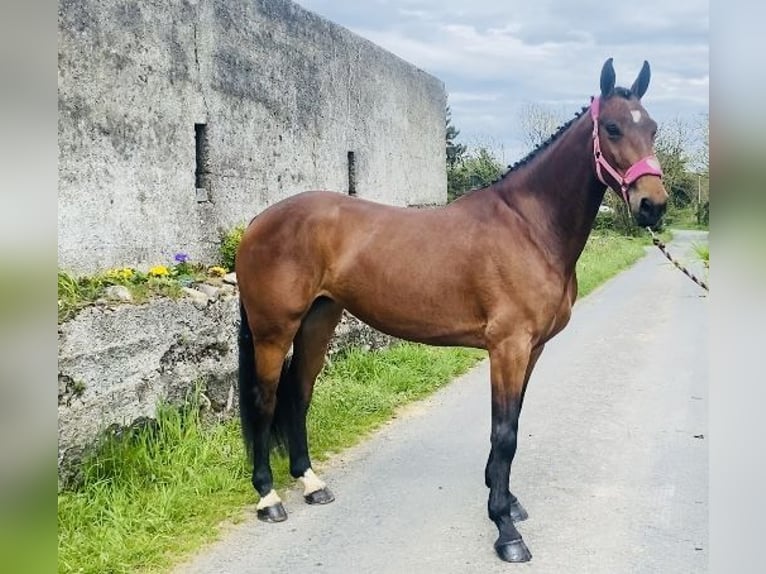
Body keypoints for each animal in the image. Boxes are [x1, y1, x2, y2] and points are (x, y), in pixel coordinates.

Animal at [237, 59, 668, 568]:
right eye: (613, 128)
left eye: (653, 128)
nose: (654, 205)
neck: (530, 227)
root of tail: (258, 221)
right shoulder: (508, 347)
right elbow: (504, 433)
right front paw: (505, 530)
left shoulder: (532, 349)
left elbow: (513, 423)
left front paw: (507, 502)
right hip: (274, 331)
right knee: (265, 400)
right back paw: (269, 498)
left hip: (318, 322)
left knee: (298, 394)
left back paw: (310, 483)